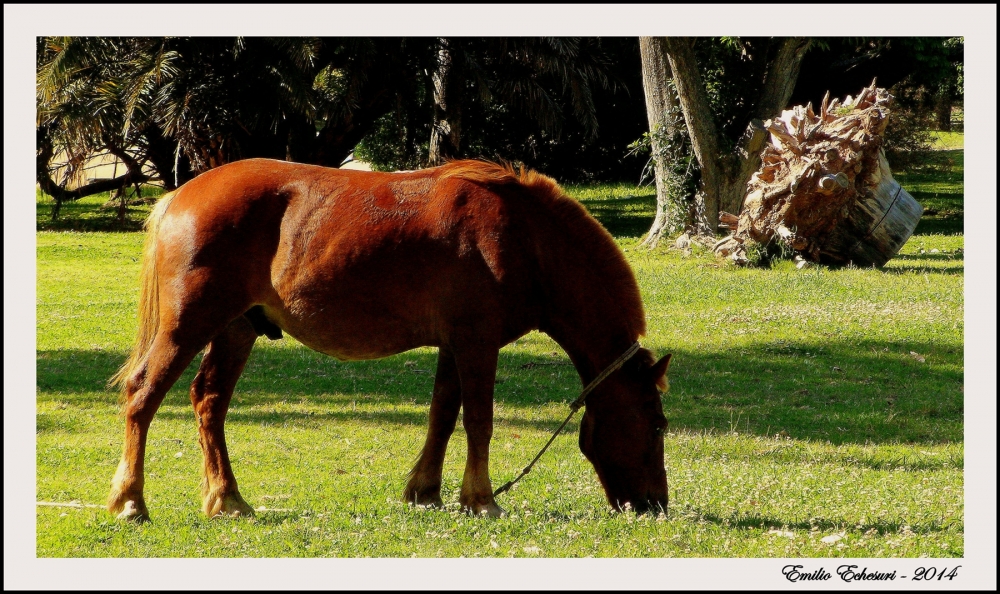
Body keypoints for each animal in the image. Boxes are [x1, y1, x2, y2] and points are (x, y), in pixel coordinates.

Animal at [107, 157, 672, 520]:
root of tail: (180, 195)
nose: (655, 506)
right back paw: (131, 501)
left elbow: (443, 415)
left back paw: (227, 500)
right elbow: (478, 421)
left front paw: (427, 491)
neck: (524, 238)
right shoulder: (477, 342)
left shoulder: (454, 344)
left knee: (209, 402)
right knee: (143, 396)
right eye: (658, 425)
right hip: (189, 324)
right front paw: (482, 499)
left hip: (236, 329)